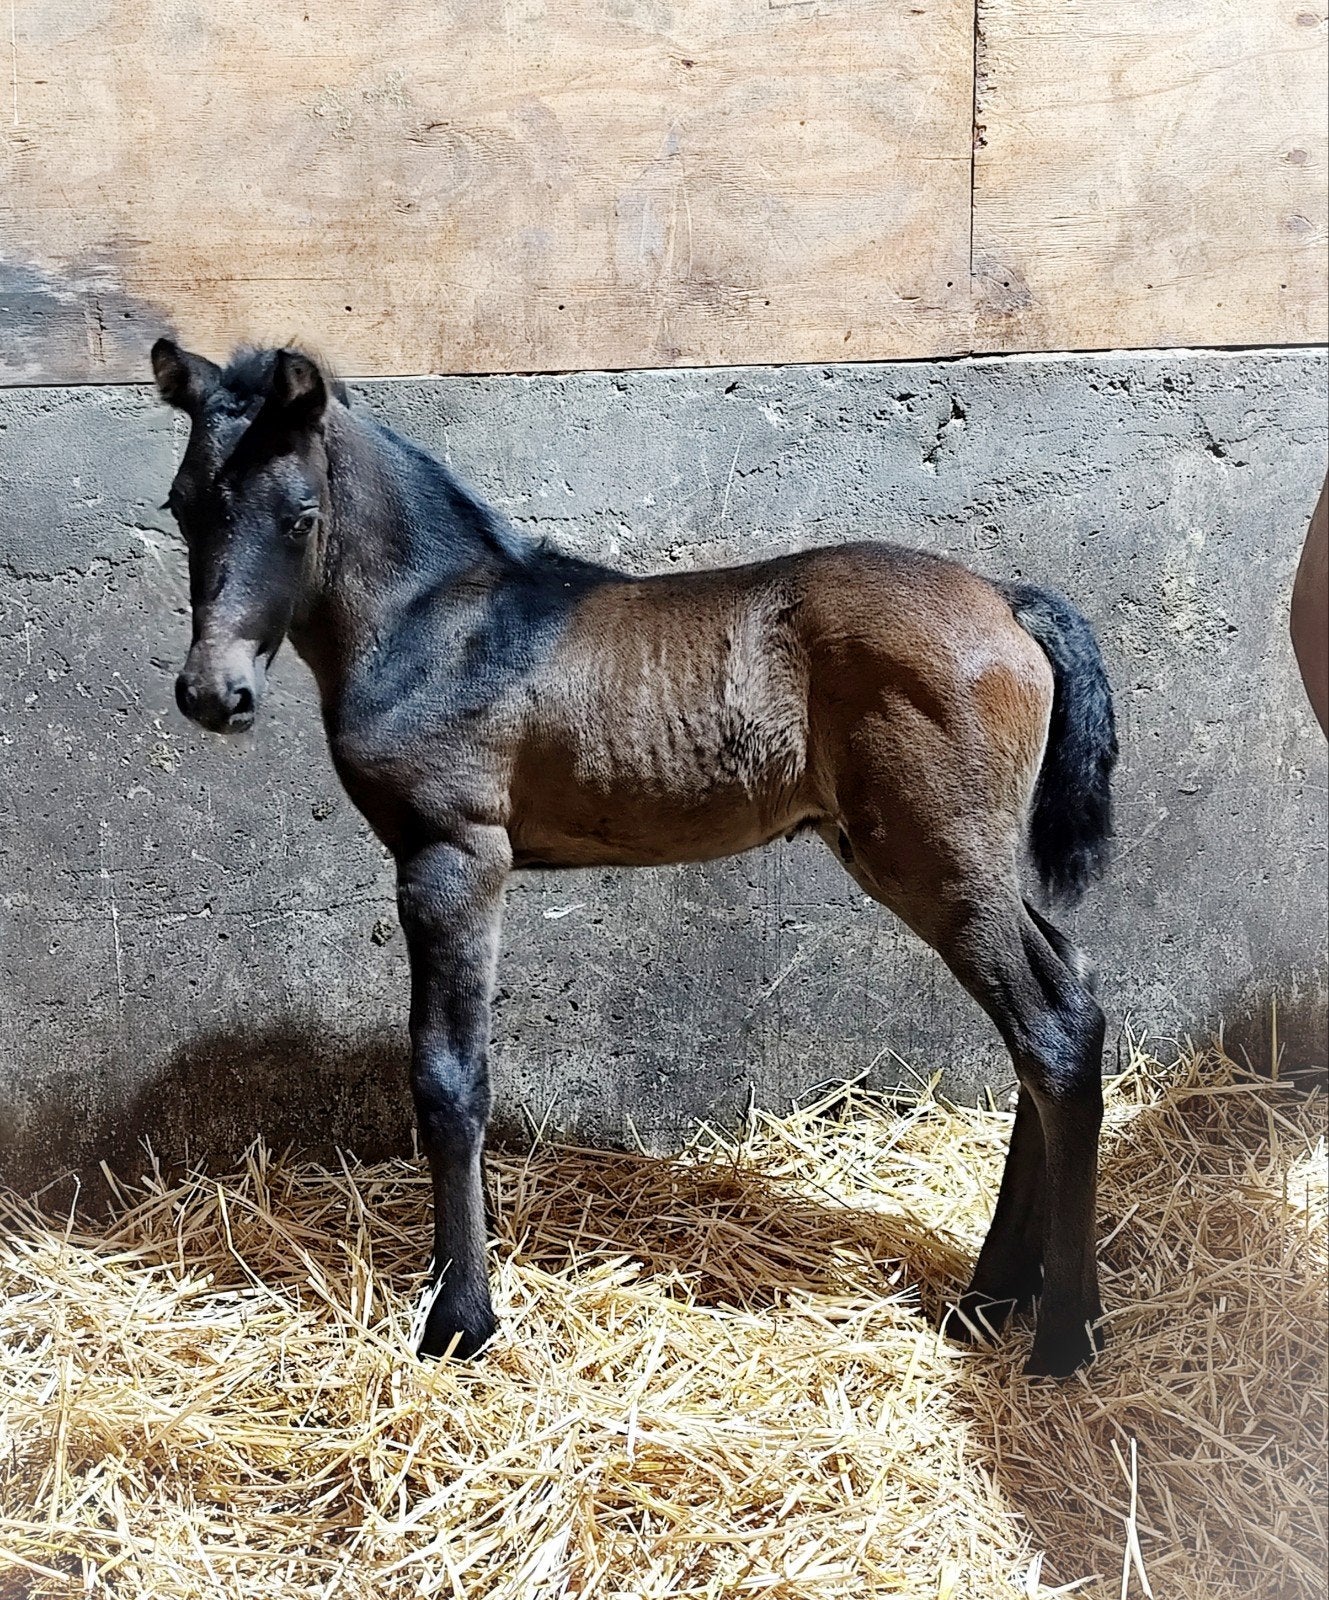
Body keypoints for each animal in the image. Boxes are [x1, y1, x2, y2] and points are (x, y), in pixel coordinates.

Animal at [150, 339, 1118, 1378]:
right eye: (182, 503)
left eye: (299, 515)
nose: (213, 693)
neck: (435, 625)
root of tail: (1006, 603)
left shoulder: (452, 855)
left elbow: (449, 1078)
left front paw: (460, 1319)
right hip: (946, 860)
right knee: (1066, 992)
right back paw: (991, 1298)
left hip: (934, 860)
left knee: (1053, 1027)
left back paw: (1064, 1333)